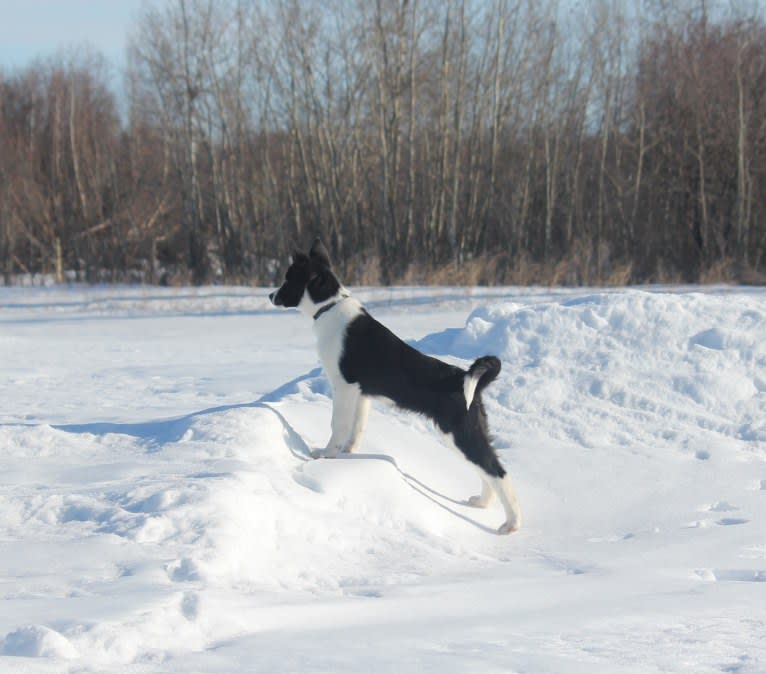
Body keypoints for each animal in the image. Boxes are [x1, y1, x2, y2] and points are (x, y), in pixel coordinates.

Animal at [270, 239, 520, 532]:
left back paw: (511, 524)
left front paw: (326, 455)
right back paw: (481, 503)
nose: (271, 296)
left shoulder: (343, 386)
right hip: (468, 434)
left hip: (459, 434)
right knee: (487, 470)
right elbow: (356, 428)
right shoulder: (360, 393)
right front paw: (348, 453)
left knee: (498, 471)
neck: (329, 308)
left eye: (289, 279)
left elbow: (338, 425)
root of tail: (469, 382)